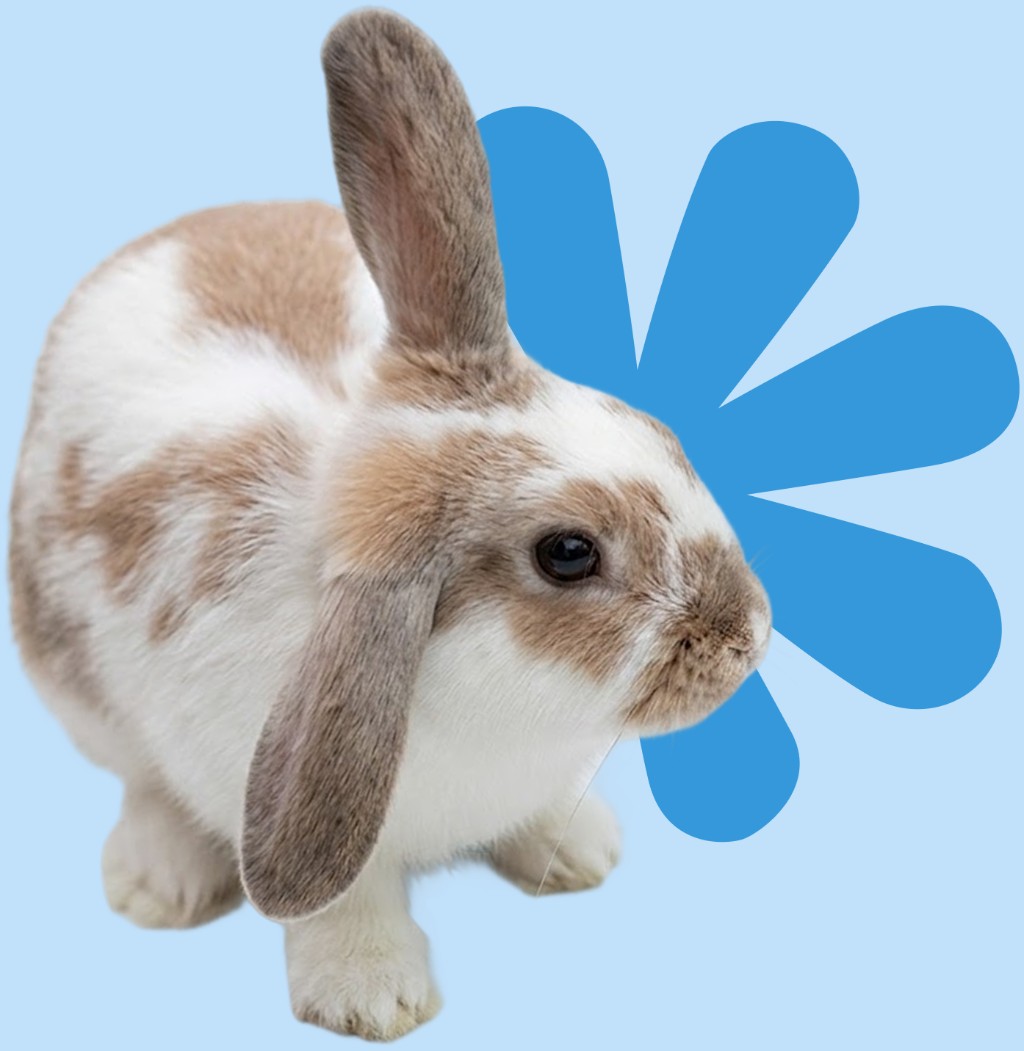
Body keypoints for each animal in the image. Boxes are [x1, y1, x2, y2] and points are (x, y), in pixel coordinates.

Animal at [8, 7, 771, 1042]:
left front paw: (576, 850)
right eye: (568, 553)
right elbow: (345, 898)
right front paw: (372, 995)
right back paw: (159, 880)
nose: (749, 635)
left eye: (655, 430)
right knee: (139, 779)